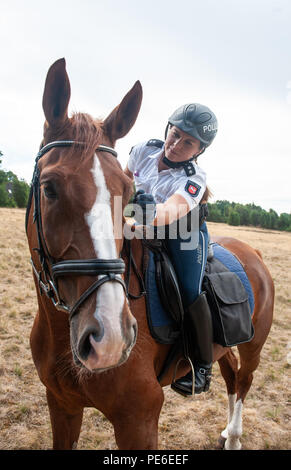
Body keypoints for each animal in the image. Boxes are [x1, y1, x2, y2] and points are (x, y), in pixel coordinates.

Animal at [25, 57, 276, 450]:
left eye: (127, 192)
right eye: (49, 187)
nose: (110, 338)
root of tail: (252, 251)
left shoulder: (138, 419)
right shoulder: (61, 404)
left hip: (255, 345)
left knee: (245, 379)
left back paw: (234, 437)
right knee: (231, 376)